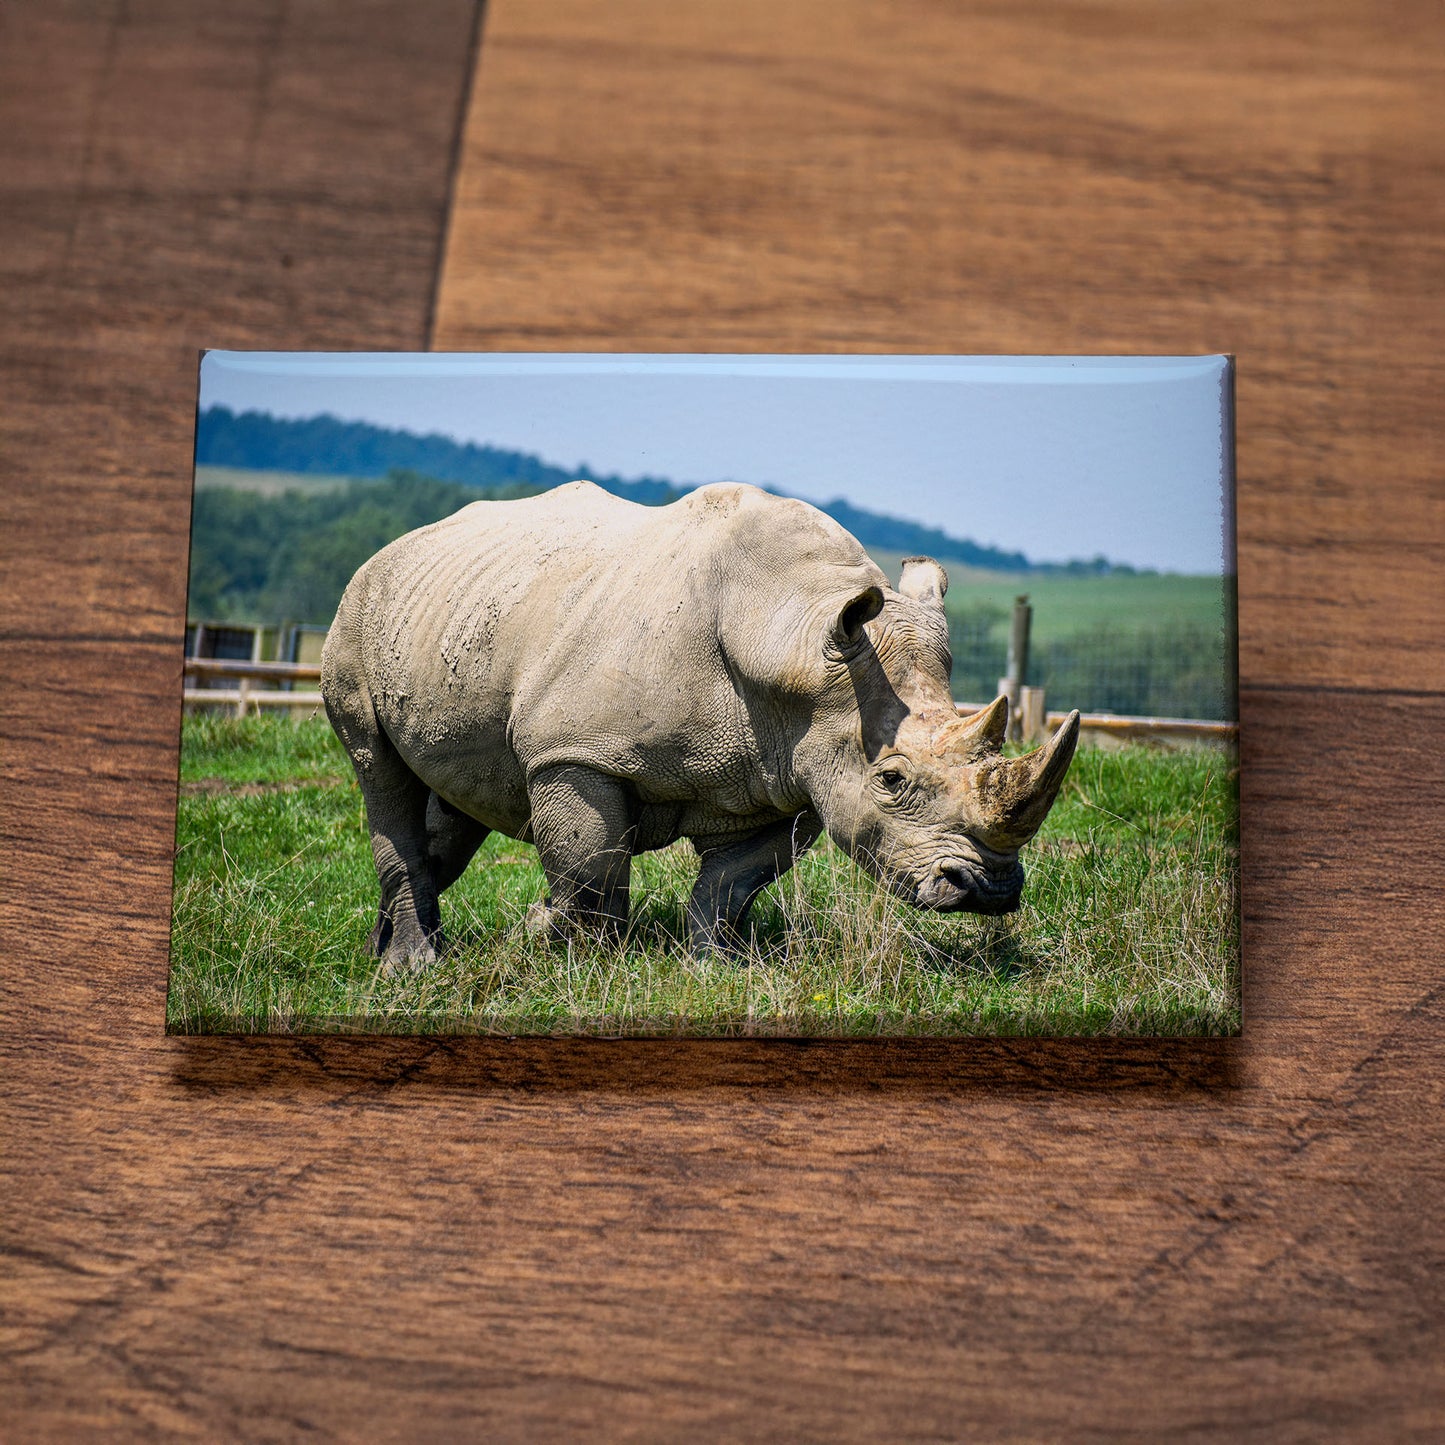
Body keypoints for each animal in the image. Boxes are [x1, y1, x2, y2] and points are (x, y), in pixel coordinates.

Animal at [321, 480, 1080, 969]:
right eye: (892, 779)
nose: (989, 890)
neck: (794, 637)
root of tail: (392, 550)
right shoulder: (575, 753)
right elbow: (590, 871)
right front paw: (560, 950)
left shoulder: (789, 775)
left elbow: (731, 884)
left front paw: (718, 965)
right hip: (356, 613)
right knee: (379, 771)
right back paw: (411, 967)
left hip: (455, 613)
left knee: (456, 802)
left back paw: (384, 951)